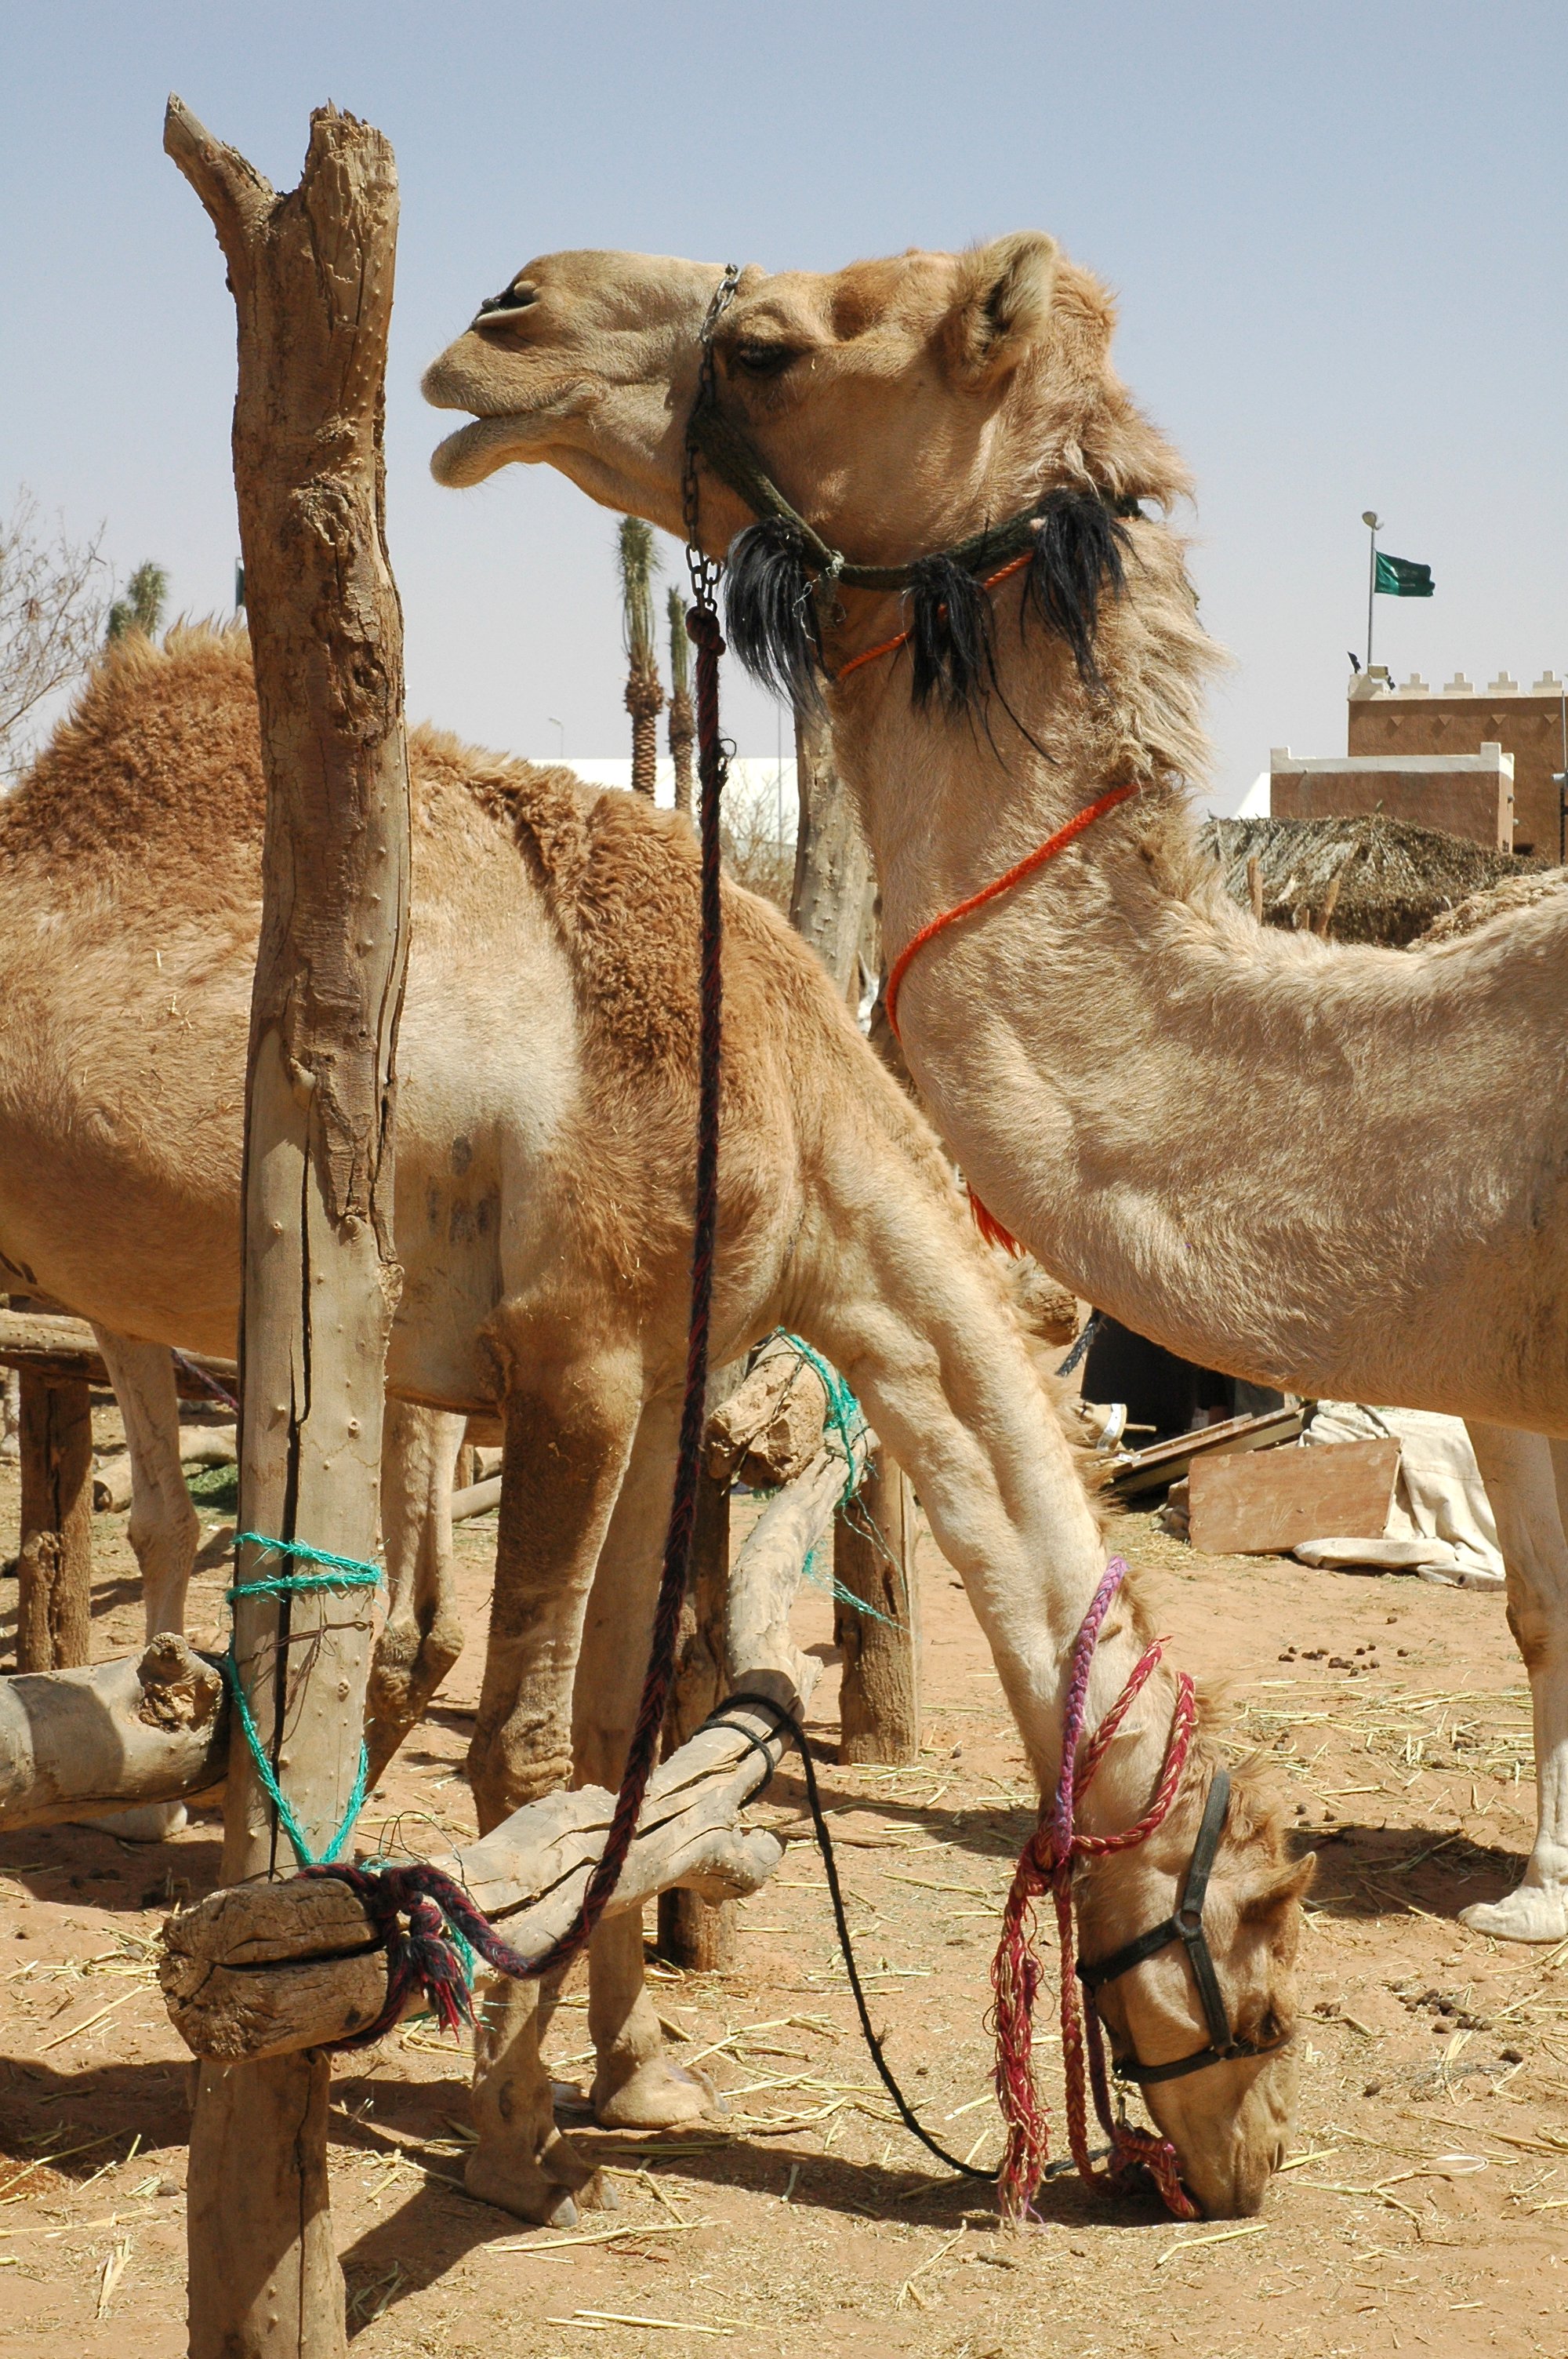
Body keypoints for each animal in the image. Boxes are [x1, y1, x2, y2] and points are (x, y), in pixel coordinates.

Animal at [0, 628, 1307, 2219]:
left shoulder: (673, 1373)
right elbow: (525, 1744)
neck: (790, 1104)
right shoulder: (575, 1361)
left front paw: (635, 2075)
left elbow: (620, 1733)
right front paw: (514, 2135)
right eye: (1266, 1951)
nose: (1252, 2166)